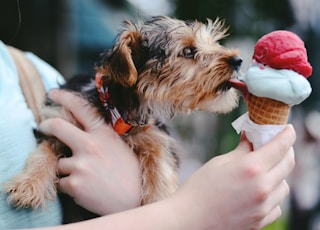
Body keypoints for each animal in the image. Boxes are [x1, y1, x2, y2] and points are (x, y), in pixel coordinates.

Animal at [3, 15, 241, 216]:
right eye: (189, 52)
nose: (237, 60)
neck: (118, 110)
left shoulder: (155, 136)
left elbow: (160, 165)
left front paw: (158, 199)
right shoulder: (60, 118)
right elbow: (44, 151)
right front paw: (28, 185)